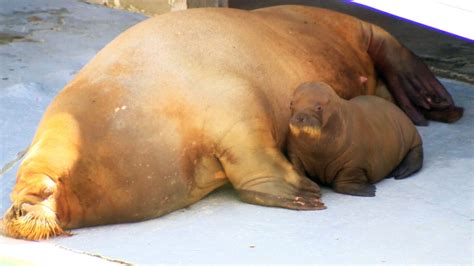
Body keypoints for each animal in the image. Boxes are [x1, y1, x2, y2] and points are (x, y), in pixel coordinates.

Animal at [286, 82, 422, 196]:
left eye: (319, 107)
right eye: (291, 104)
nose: (300, 117)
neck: (318, 153)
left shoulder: (354, 162)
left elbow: (346, 180)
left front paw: (369, 190)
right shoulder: (295, 153)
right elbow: (296, 166)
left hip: (411, 133)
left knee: (416, 152)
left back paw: (402, 171)